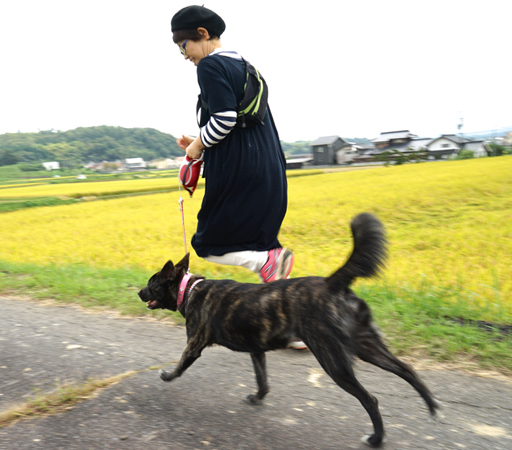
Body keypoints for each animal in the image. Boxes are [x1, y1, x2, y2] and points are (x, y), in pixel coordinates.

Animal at [139, 214, 440, 446]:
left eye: (151, 283)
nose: (138, 292)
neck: (188, 289)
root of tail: (333, 283)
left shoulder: (194, 345)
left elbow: (180, 365)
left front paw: (166, 375)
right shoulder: (257, 351)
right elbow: (262, 380)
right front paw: (257, 397)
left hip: (334, 361)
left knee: (371, 399)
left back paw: (377, 439)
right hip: (367, 345)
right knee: (406, 369)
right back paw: (432, 406)